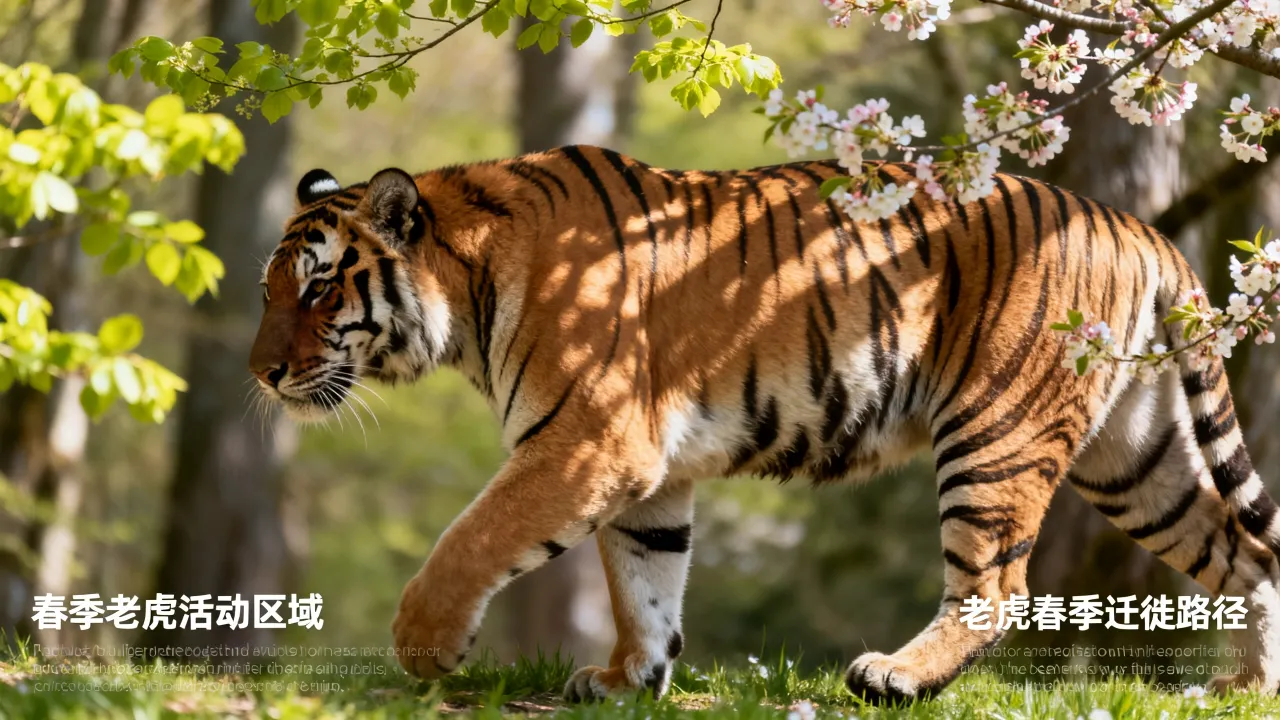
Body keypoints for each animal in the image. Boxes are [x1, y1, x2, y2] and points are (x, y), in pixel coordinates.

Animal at [249, 145, 1280, 703]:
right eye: (269, 291)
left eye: (316, 288)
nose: (261, 373)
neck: (465, 294)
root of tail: (1141, 228)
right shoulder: (646, 470)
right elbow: (644, 581)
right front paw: (629, 680)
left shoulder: (586, 441)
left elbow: (472, 539)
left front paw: (427, 648)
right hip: (1136, 458)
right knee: (1248, 556)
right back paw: (1245, 689)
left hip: (998, 429)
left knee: (997, 586)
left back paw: (896, 677)